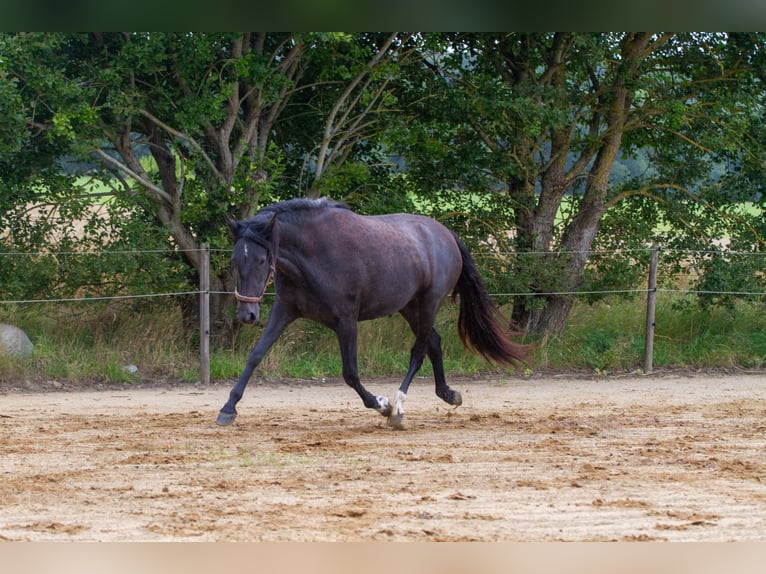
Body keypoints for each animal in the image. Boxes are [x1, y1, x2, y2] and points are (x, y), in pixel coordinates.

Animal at [216, 197, 527, 428]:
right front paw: (228, 408)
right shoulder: (285, 311)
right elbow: (255, 355)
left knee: (419, 351)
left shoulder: (346, 321)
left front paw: (381, 405)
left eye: (261, 259)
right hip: (409, 307)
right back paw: (448, 394)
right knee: (434, 343)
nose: (246, 315)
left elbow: (350, 373)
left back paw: (398, 408)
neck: (315, 254)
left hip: (428, 304)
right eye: (235, 259)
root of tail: (446, 233)